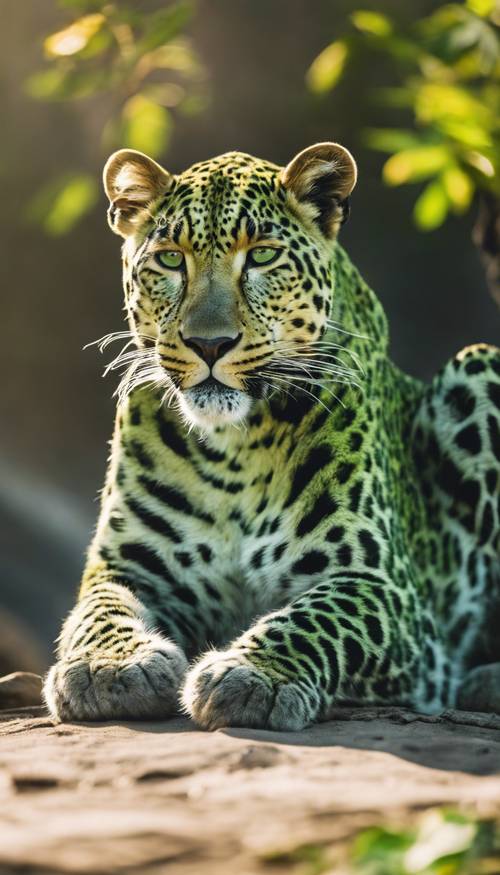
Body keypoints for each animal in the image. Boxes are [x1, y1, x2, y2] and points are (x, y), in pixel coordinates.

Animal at [44, 144, 500, 728]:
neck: (233, 451)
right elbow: (99, 609)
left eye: (261, 256)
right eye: (170, 259)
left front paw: (253, 675)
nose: (208, 344)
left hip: (482, 366)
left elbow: (319, 617)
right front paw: (110, 667)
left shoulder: (384, 587)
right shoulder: (127, 566)